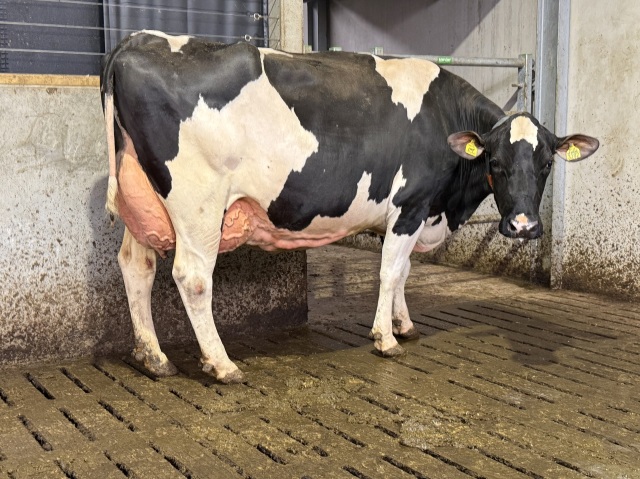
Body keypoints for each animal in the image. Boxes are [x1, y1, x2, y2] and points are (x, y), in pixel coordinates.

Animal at [100, 30, 599, 384]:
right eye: (495, 161)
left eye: (547, 163)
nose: (523, 226)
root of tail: (137, 39)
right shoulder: (410, 204)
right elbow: (390, 272)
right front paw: (386, 338)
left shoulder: (408, 215)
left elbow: (404, 272)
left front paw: (403, 324)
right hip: (198, 204)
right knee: (193, 276)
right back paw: (222, 365)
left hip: (142, 200)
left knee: (136, 266)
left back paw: (153, 356)